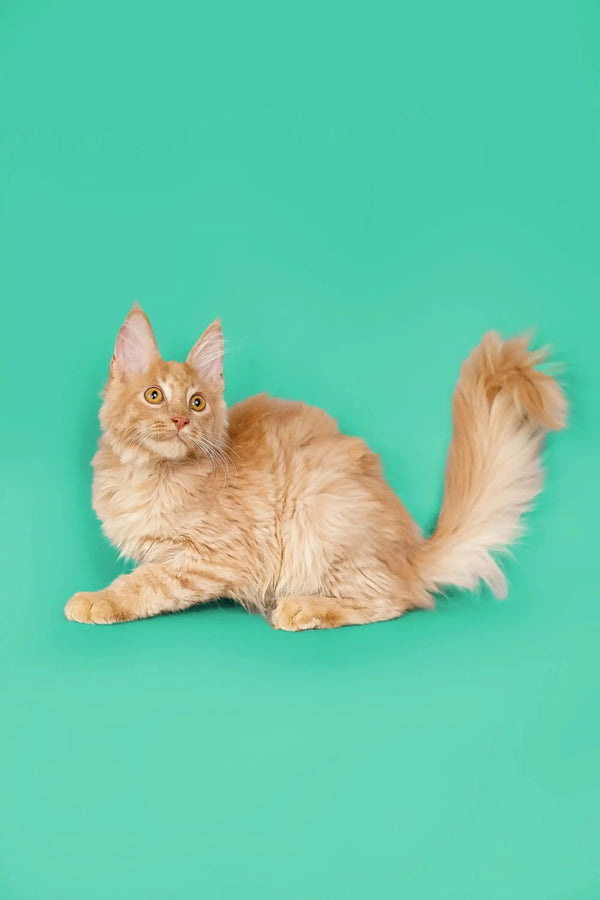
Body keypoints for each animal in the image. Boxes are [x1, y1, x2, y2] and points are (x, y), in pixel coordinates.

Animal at [64, 306, 568, 628]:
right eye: (154, 395)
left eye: (198, 402)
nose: (180, 420)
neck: (148, 474)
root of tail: (412, 553)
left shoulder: (208, 557)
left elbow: (144, 584)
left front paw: (96, 600)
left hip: (319, 511)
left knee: (394, 600)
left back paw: (302, 609)